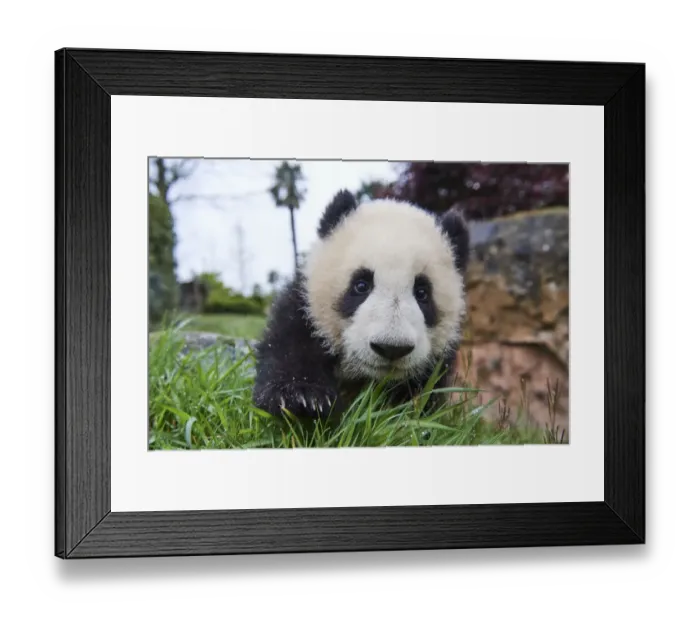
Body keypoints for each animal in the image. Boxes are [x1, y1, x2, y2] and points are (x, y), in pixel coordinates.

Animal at [252, 189, 470, 419]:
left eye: (422, 292)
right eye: (361, 285)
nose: (391, 348)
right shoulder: (304, 308)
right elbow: (289, 349)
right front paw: (304, 400)